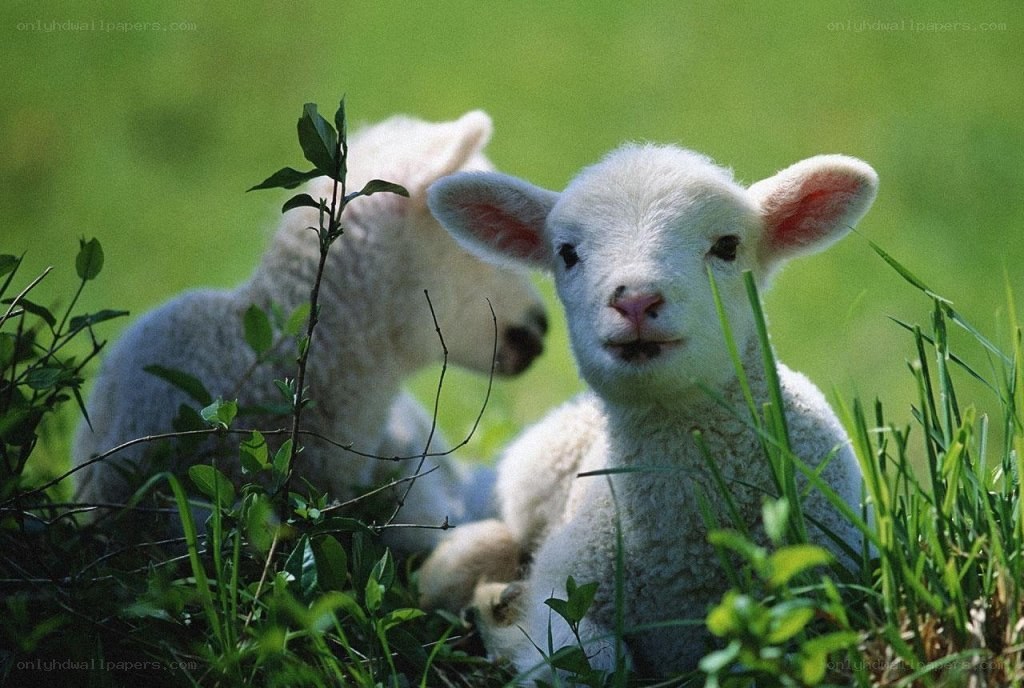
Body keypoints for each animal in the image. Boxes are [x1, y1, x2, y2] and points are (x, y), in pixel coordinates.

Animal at [420, 143, 878, 678]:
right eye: (567, 253)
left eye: (727, 246)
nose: (636, 300)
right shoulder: (564, 586)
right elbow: (593, 658)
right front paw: (509, 624)